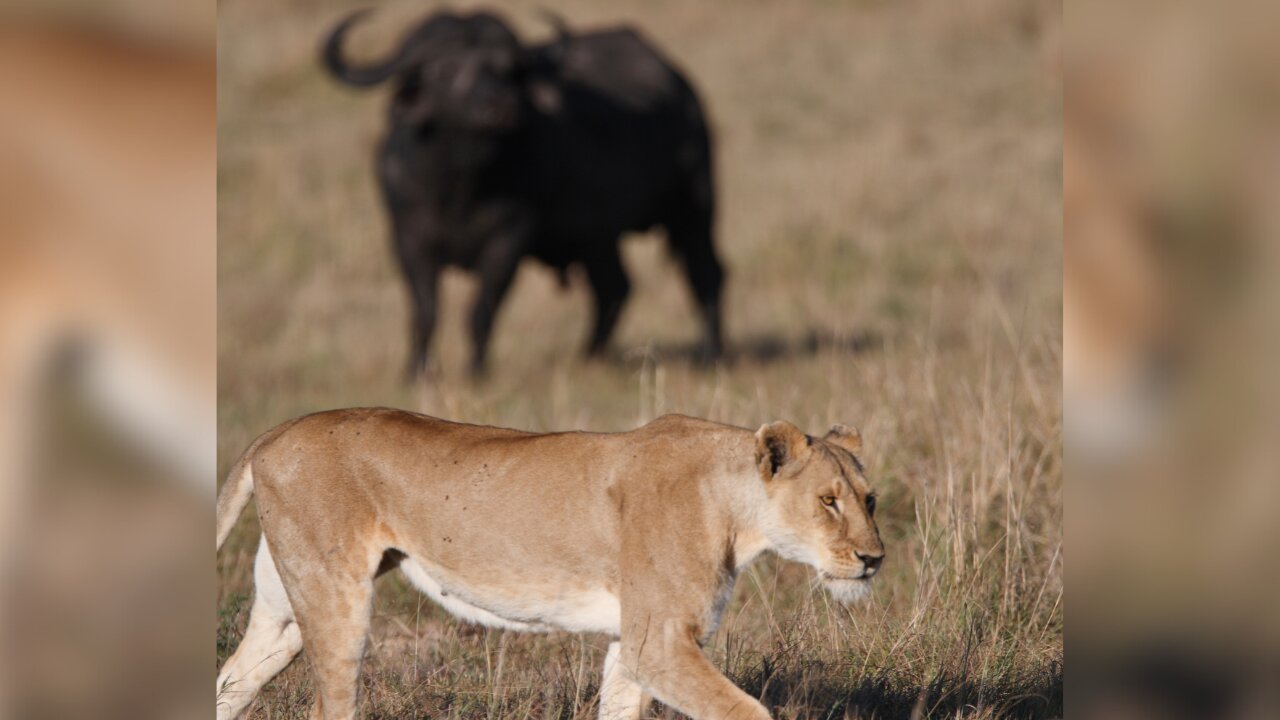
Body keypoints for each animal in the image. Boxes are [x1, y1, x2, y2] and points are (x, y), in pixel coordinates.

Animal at [322, 9, 721, 376]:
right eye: (443, 70)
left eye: (506, 70)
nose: (498, 108)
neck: (460, 188)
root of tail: (679, 84)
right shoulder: (407, 240)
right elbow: (425, 312)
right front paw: (416, 373)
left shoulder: (508, 240)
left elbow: (481, 310)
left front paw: (475, 372)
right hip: (597, 239)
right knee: (614, 287)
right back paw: (589, 356)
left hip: (692, 207)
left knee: (705, 273)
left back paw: (709, 353)